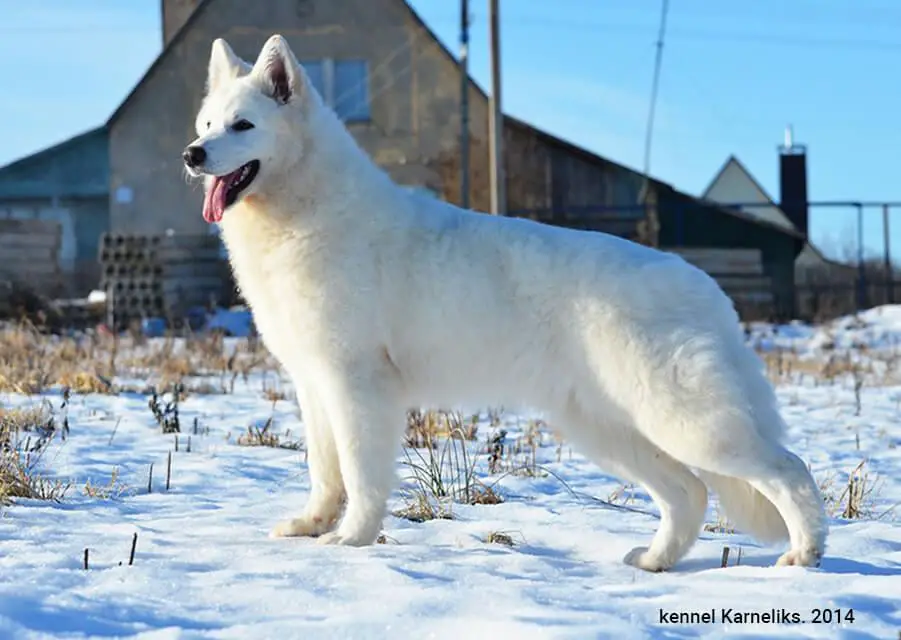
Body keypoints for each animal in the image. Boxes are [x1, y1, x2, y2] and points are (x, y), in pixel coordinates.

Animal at [186, 35, 828, 568]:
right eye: (208, 123)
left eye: (242, 126)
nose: (193, 154)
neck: (306, 213)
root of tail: (704, 286)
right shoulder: (315, 385)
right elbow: (325, 472)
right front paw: (313, 526)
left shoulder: (358, 387)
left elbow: (362, 478)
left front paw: (351, 541)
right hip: (609, 430)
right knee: (690, 491)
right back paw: (654, 561)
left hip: (686, 425)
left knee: (788, 469)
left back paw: (804, 555)